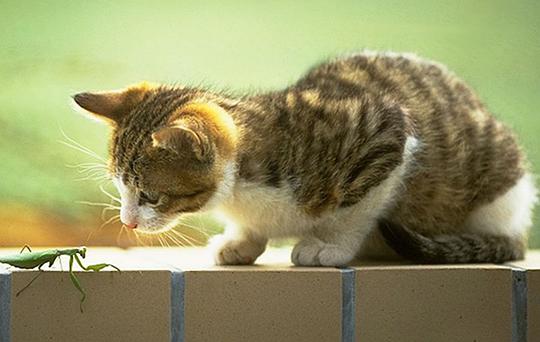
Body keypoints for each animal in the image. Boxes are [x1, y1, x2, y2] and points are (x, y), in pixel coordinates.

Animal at [73, 52, 536, 268]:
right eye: (120, 188)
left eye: (150, 196)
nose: (128, 222)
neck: (240, 189)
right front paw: (243, 240)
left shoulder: (388, 134)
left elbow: (357, 208)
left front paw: (330, 244)